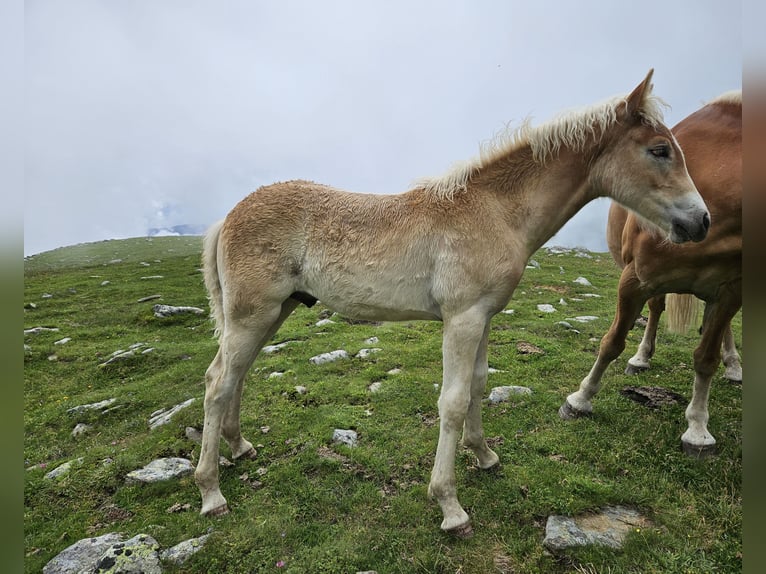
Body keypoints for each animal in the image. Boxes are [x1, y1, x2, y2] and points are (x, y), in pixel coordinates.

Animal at [196, 70, 708, 536]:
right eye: (659, 150)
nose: (701, 222)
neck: (496, 210)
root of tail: (228, 216)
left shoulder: (483, 317)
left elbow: (479, 385)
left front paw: (484, 456)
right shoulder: (462, 319)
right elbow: (454, 402)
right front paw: (450, 506)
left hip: (273, 312)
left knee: (237, 376)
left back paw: (240, 448)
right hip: (252, 314)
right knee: (218, 382)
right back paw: (211, 493)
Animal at [564, 90, 744, 460]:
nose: (700, 222)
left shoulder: (731, 289)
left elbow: (706, 358)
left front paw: (698, 429)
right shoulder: (634, 279)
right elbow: (612, 341)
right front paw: (580, 399)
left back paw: (733, 364)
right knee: (657, 310)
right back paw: (641, 357)